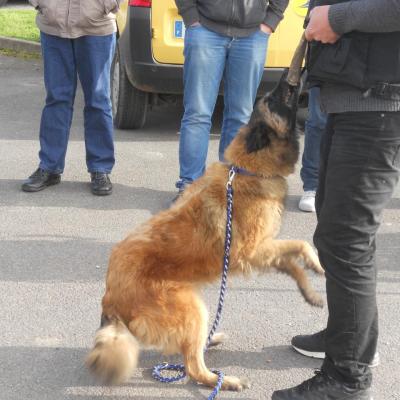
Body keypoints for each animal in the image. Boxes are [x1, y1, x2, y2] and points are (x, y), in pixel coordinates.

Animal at [86, 71, 324, 390]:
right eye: (276, 98)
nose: (289, 74)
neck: (248, 169)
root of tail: (110, 296)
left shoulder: (262, 252)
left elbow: (293, 265)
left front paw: (310, 293)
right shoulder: (252, 251)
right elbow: (301, 244)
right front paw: (318, 263)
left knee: (188, 349)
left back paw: (211, 341)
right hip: (191, 309)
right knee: (193, 367)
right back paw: (222, 379)